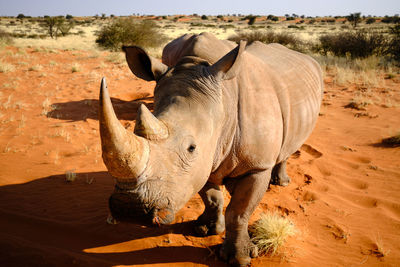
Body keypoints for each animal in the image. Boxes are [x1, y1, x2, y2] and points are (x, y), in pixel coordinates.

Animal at [100, 32, 324, 266]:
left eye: (191, 148)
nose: (129, 209)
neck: (223, 101)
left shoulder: (256, 166)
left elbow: (239, 211)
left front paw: (240, 258)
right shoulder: (202, 163)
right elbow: (212, 198)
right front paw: (206, 229)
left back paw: (280, 182)